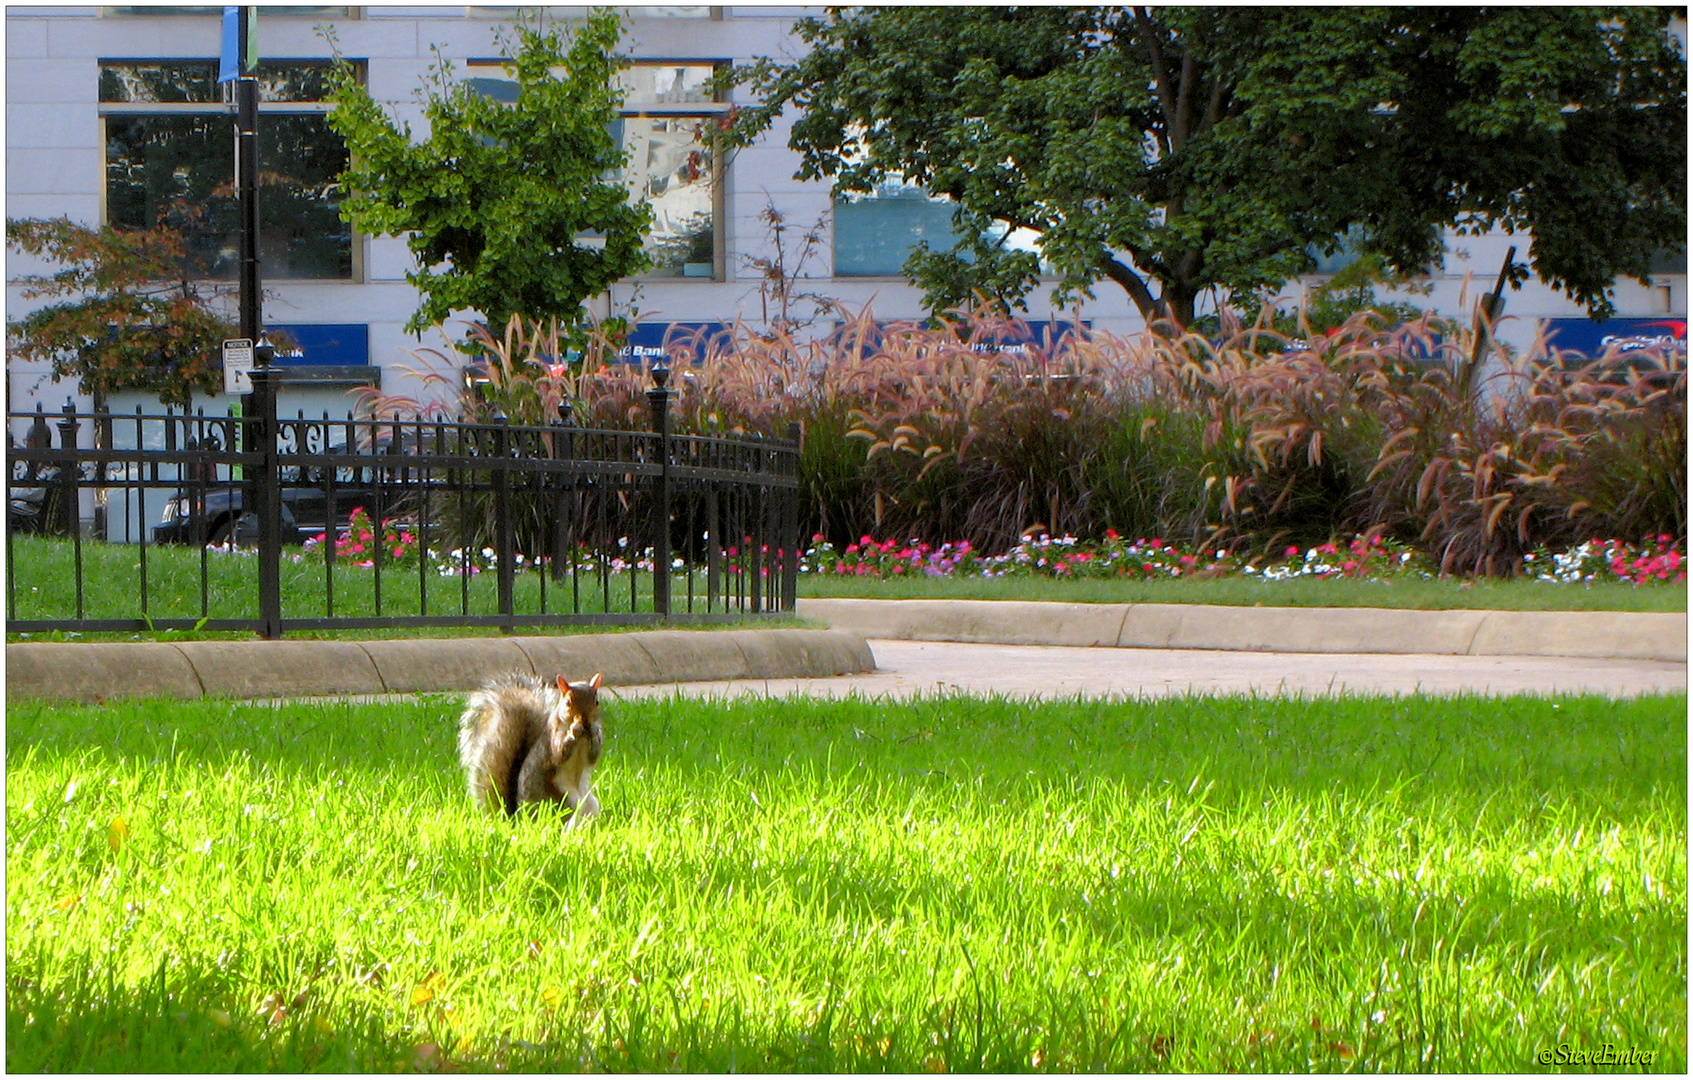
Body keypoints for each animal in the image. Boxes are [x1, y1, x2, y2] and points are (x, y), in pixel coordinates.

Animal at [457, 670, 602, 829]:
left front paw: (594, 732)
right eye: (568, 702)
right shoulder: (552, 739)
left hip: (591, 804)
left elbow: (592, 755)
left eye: (597, 701)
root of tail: (518, 820)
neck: (582, 739)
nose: (585, 722)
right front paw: (573, 732)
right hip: (565, 799)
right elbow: (559, 753)